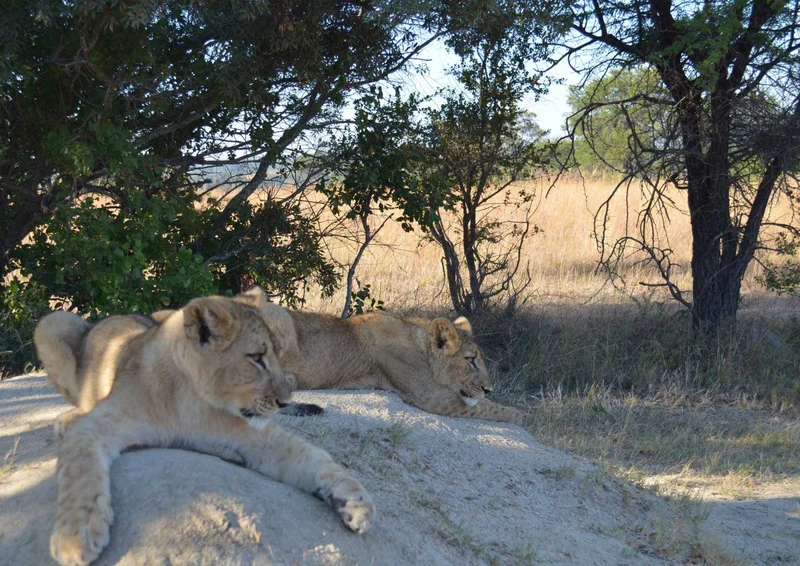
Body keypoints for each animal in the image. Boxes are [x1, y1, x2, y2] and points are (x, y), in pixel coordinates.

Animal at [33, 290, 374, 566]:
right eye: (256, 358)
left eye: (278, 357)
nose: (284, 400)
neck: (193, 398)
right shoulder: (99, 423)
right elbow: (80, 471)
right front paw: (75, 537)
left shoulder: (256, 434)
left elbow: (312, 456)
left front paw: (355, 501)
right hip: (51, 322)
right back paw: (64, 419)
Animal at [237, 290, 526, 424]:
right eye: (470, 360)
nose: (489, 388)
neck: (421, 348)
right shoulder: (432, 398)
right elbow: (490, 408)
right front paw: (521, 416)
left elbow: (486, 405)